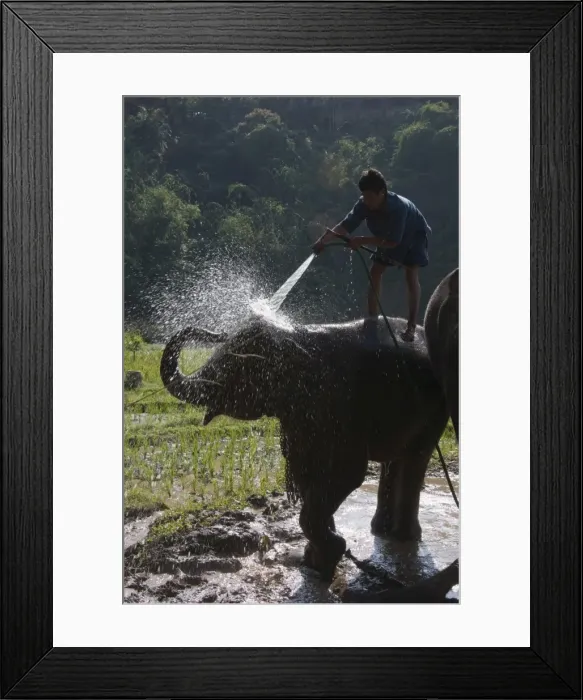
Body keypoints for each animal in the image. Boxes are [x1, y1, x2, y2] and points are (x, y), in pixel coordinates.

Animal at [160, 311, 448, 581]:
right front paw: (315, 560)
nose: (215, 332)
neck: (295, 335)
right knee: (394, 460)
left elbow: (346, 474)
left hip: (437, 409)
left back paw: (403, 537)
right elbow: (308, 473)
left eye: (234, 364)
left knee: (415, 459)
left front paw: (331, 554)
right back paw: (380, 530)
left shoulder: (339, 406)